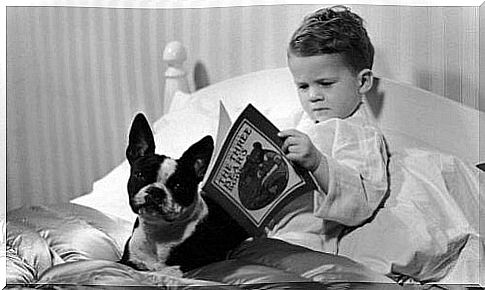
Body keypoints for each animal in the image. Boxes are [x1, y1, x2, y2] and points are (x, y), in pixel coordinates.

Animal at [120, 112, 250, 274]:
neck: (158, 234)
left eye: (178, 186)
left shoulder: (203, 261)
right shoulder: (127, 260)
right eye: (140, 175)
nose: (156, 191)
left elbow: (171, 270)